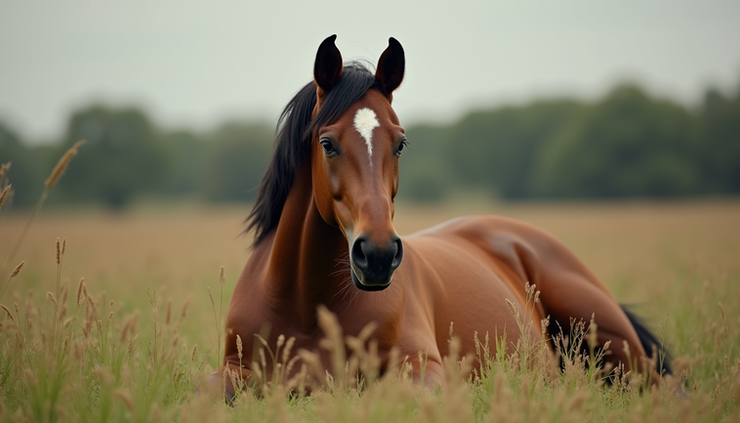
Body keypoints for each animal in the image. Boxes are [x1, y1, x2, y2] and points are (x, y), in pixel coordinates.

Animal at [209, 35, 670, 399]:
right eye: (327, 143)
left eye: (400, 143)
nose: (377, 255)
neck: (307, 304)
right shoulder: (234, 369)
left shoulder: (421, 365)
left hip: (613, 341)